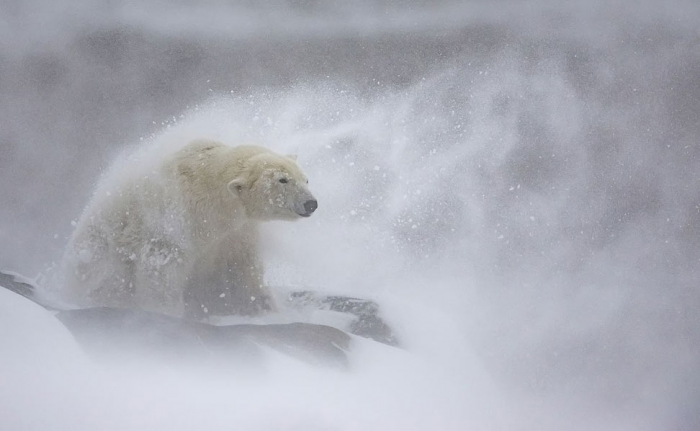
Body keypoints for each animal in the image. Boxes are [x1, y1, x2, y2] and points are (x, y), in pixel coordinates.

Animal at [60, 140, 318, 318]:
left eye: (305, 179)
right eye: (283, 180)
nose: (311, 203)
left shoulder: (237, 232)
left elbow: (243, 269)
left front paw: (264, 307)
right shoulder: (175, 219)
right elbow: (162, 267)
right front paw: (166, 312)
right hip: (99, 253)